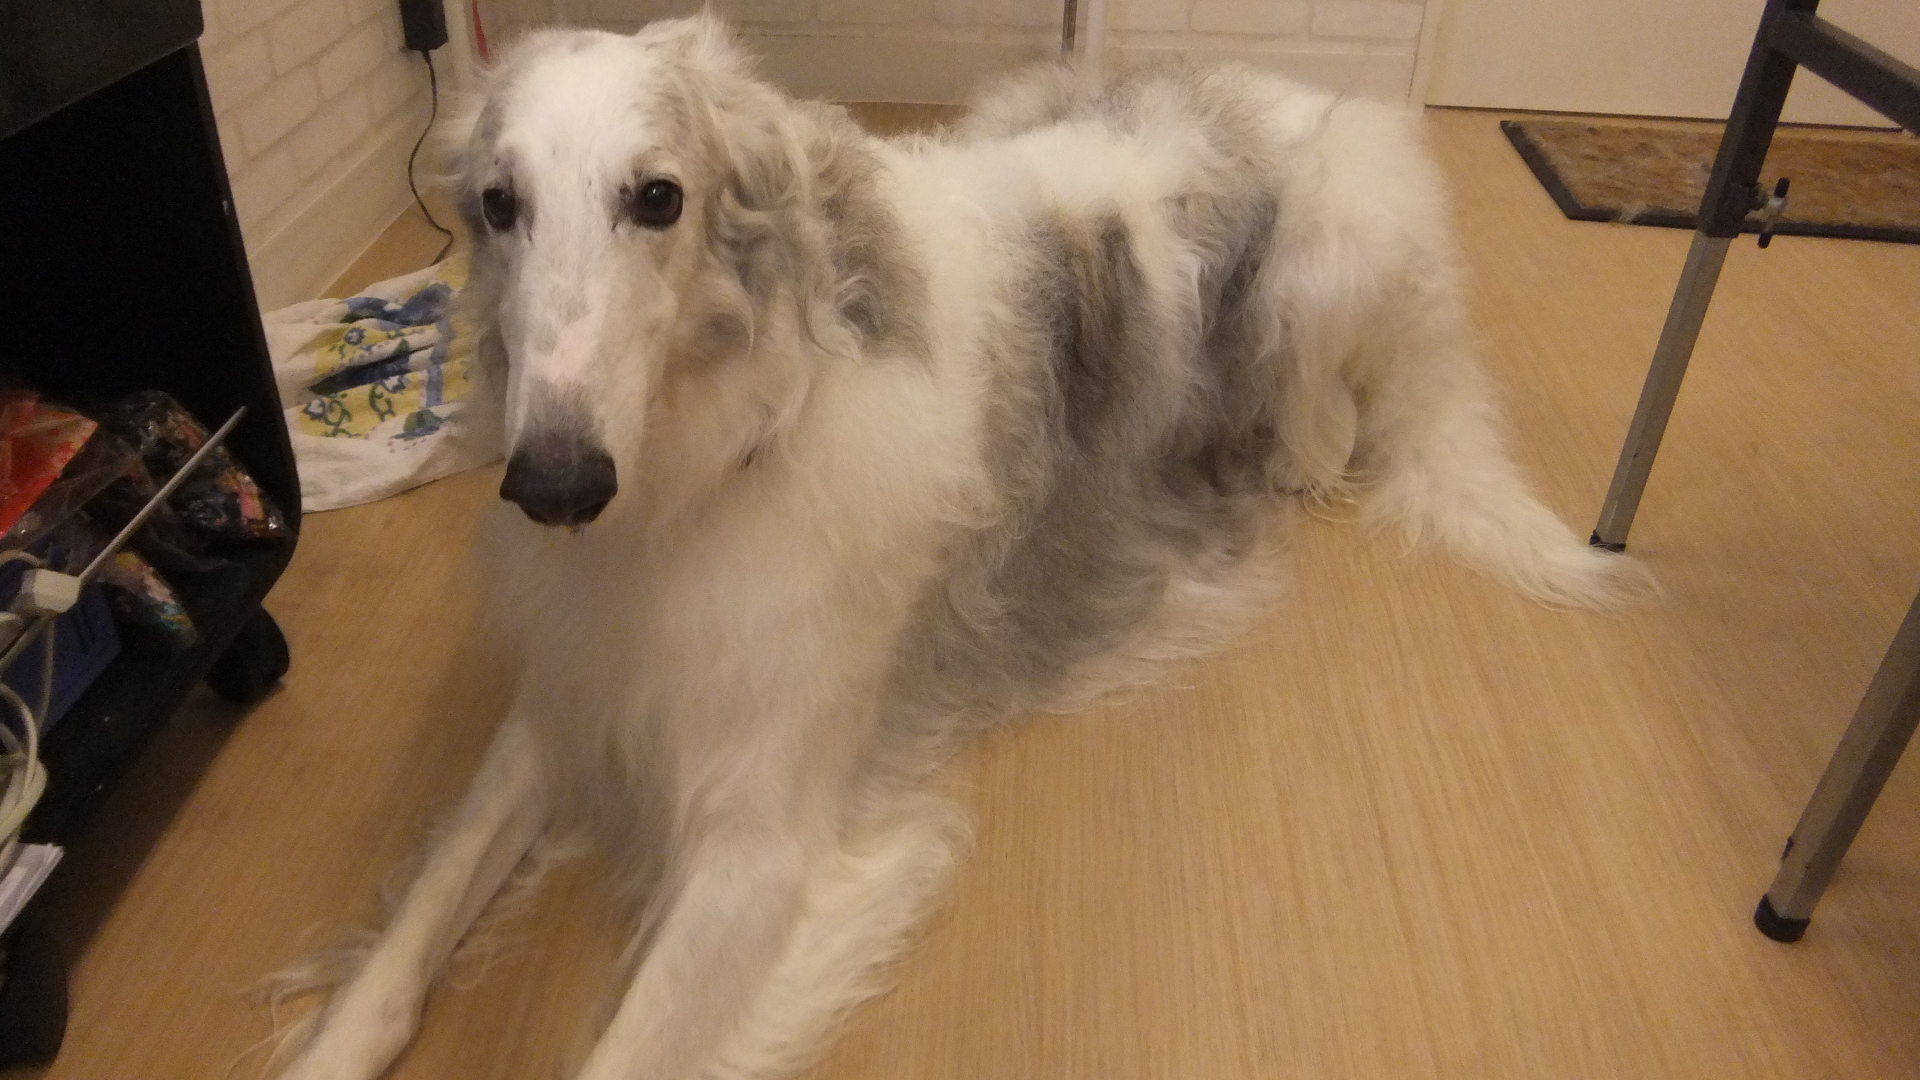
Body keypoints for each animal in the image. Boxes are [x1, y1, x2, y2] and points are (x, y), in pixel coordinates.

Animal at [271, 15, 1644, 1080]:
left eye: (657, 196)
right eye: (498, 206)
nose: (554, 485)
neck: (706, 466)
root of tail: (1271, 84)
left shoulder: (763, 840)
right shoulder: (566, 704)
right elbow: (404, 944)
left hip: (1334, 253)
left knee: (1329, 422)